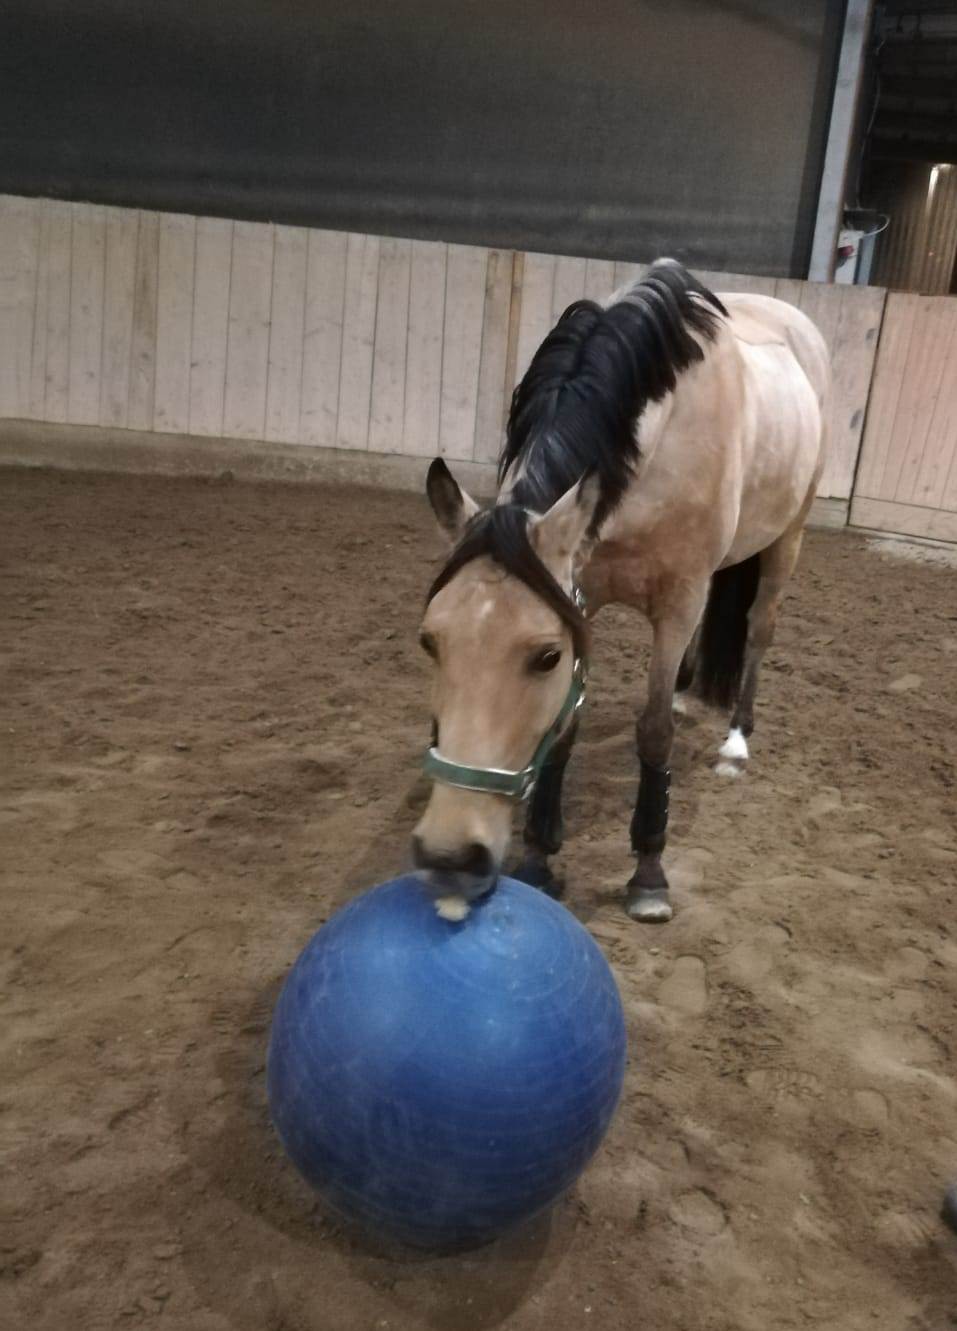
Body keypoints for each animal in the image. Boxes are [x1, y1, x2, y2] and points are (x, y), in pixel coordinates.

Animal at [407, 260, 825, 926]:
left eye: (545, 656)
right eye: (430, 642)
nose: (450, 857)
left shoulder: (677, 599)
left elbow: (652, 732)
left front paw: (648, 871)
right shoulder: (587, 592)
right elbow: (568, 728)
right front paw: (540, 858)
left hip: (788, 537)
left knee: (761, 627)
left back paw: (736, 739)